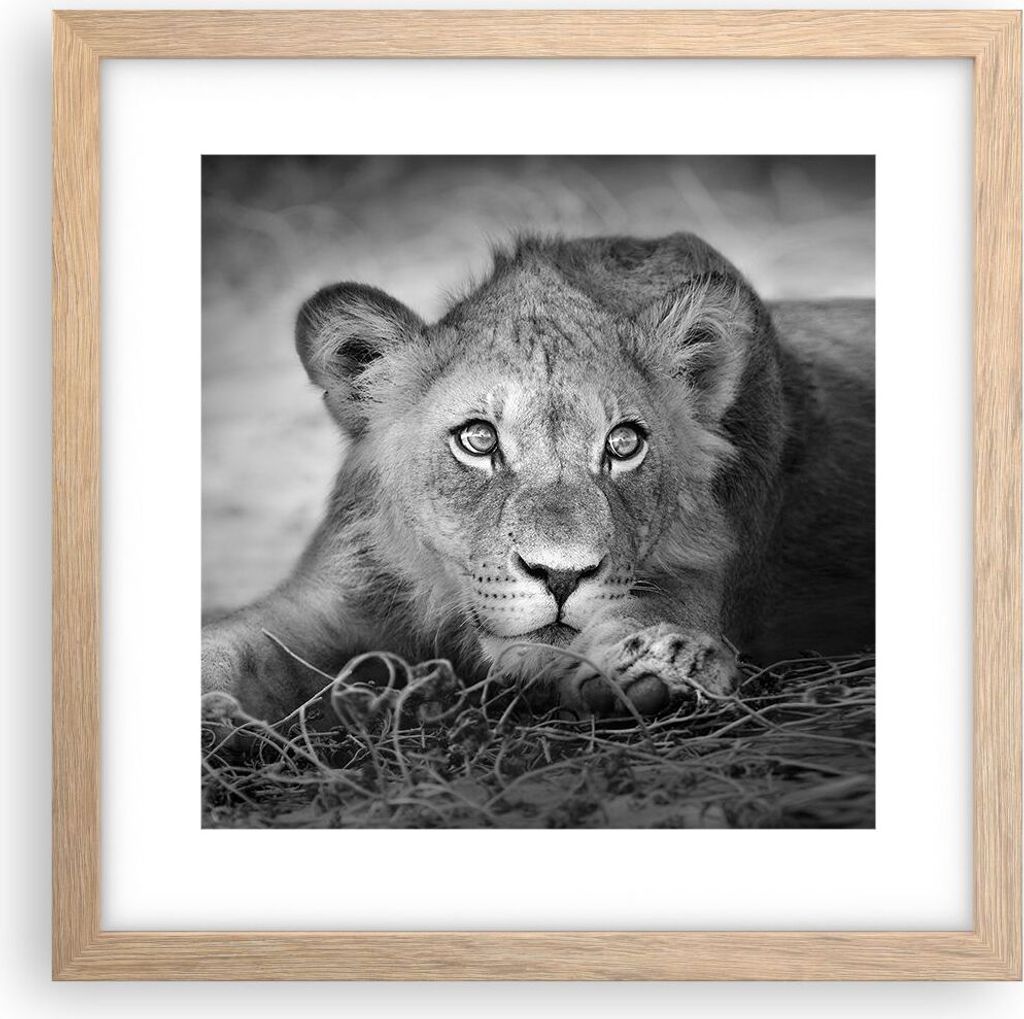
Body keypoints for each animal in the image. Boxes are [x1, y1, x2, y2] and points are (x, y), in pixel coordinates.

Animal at [202, 232, 874, 721]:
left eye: (624, 444)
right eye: (478, 440)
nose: (561, 576)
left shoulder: (704, 574)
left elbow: (653, 615)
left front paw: (661, 666)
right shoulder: (332, 595)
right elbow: (225, 648)